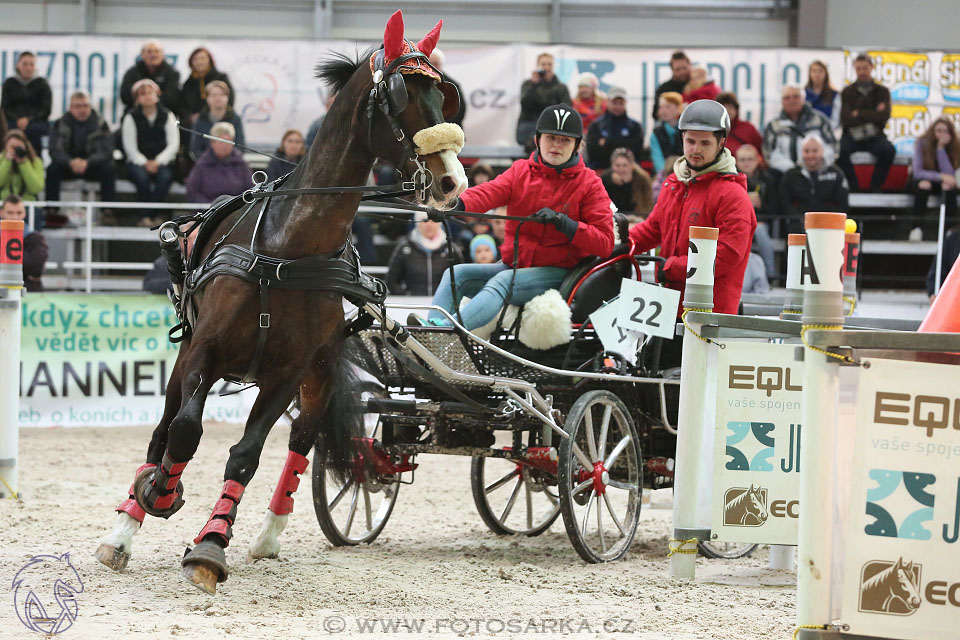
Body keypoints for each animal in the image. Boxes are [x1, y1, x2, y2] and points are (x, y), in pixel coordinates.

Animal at [93, 8, 464, 596]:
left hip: (318, 375)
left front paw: (211, 546)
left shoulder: (288, 372)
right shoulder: (204, 351)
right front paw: (161, 494)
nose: (452, 181)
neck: (290, 250)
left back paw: (268, 535)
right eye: (404, 94)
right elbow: (185, 432)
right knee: (164, 429)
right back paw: (127, 525)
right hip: (186, 358)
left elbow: (245, 456)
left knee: (301, 443)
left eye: (444, 97)